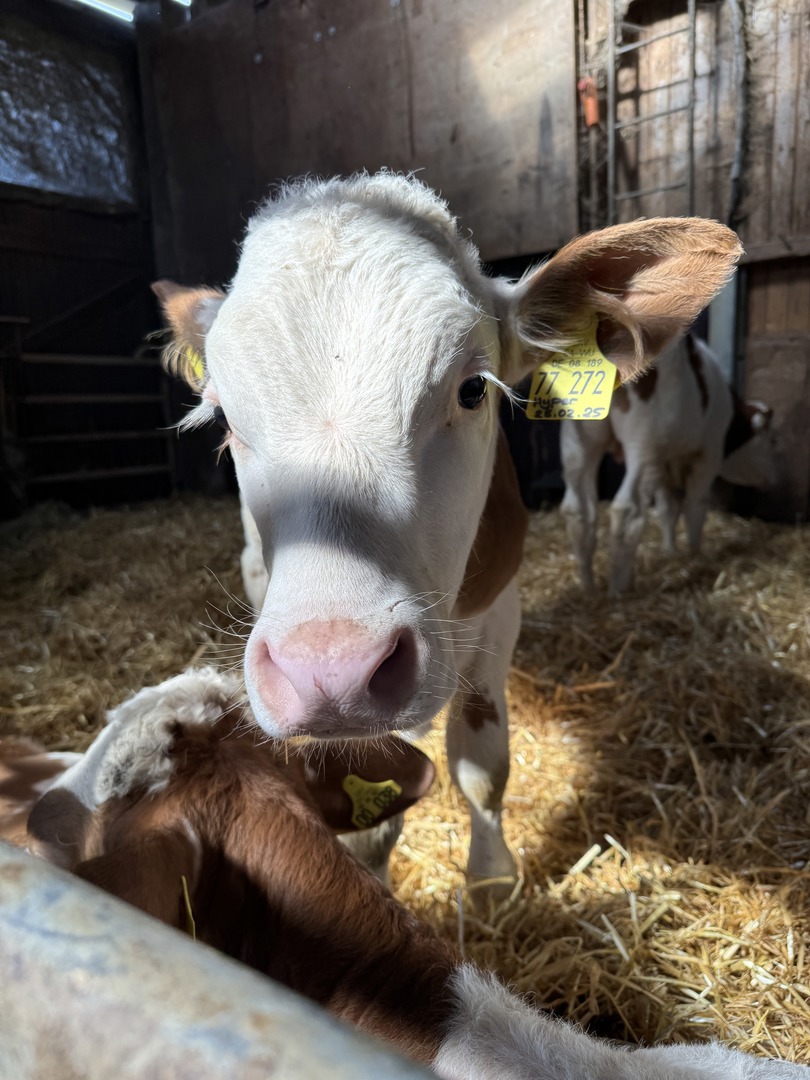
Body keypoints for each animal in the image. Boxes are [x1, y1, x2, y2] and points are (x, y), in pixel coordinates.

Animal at [152, 172, 742, 884]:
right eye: (225, 419)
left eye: (473, 389)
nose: (331, 671)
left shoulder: (500, 606)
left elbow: (482, 761)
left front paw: (491, 878)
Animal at [560, 333, 777, 595]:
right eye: (772, 441)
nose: (773, 478)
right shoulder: (707, 456)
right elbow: (695, 507)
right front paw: (694, 555)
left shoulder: (663, 463)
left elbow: (668, 508)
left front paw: (670, 551)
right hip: (643, 442)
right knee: (627, 510)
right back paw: (618, 590)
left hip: (578, 441)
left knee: (577, 509)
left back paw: (588, 588)